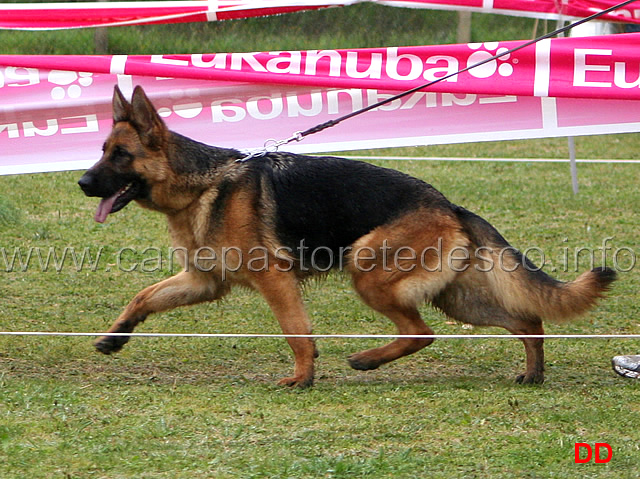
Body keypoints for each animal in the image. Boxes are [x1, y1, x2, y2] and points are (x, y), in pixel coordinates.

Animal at [77, 85, 616, 386]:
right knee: (527, 321)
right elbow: (144, 295)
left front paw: (303, 378)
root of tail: (448, 205)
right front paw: (115, 336)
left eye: (120, 155)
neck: (204, 182)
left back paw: (367, 360)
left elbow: (297, 332)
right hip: (456, 298)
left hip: (369, 273)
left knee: (422, 333)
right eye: (102, 150)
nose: (81, 182)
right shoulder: (203, 281)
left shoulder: (275, 282)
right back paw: (533, 373)